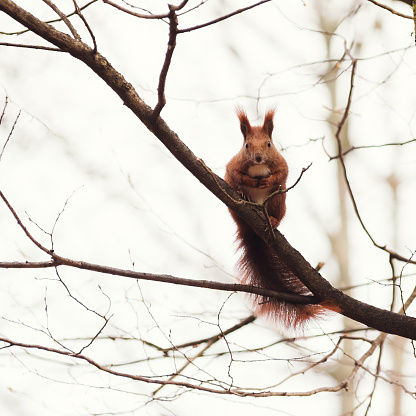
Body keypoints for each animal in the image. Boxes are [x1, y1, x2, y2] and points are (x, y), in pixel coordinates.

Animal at [226, 108, 326, 332]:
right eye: (247, 145)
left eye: (269, 144)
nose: (258, 157)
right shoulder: (233, 166)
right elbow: (236, 174)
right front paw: (249, 181)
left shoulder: (281, 163)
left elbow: (282, 173)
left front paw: (266, 180)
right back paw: (244, 196)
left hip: (278, 200)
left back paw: (272, 221)